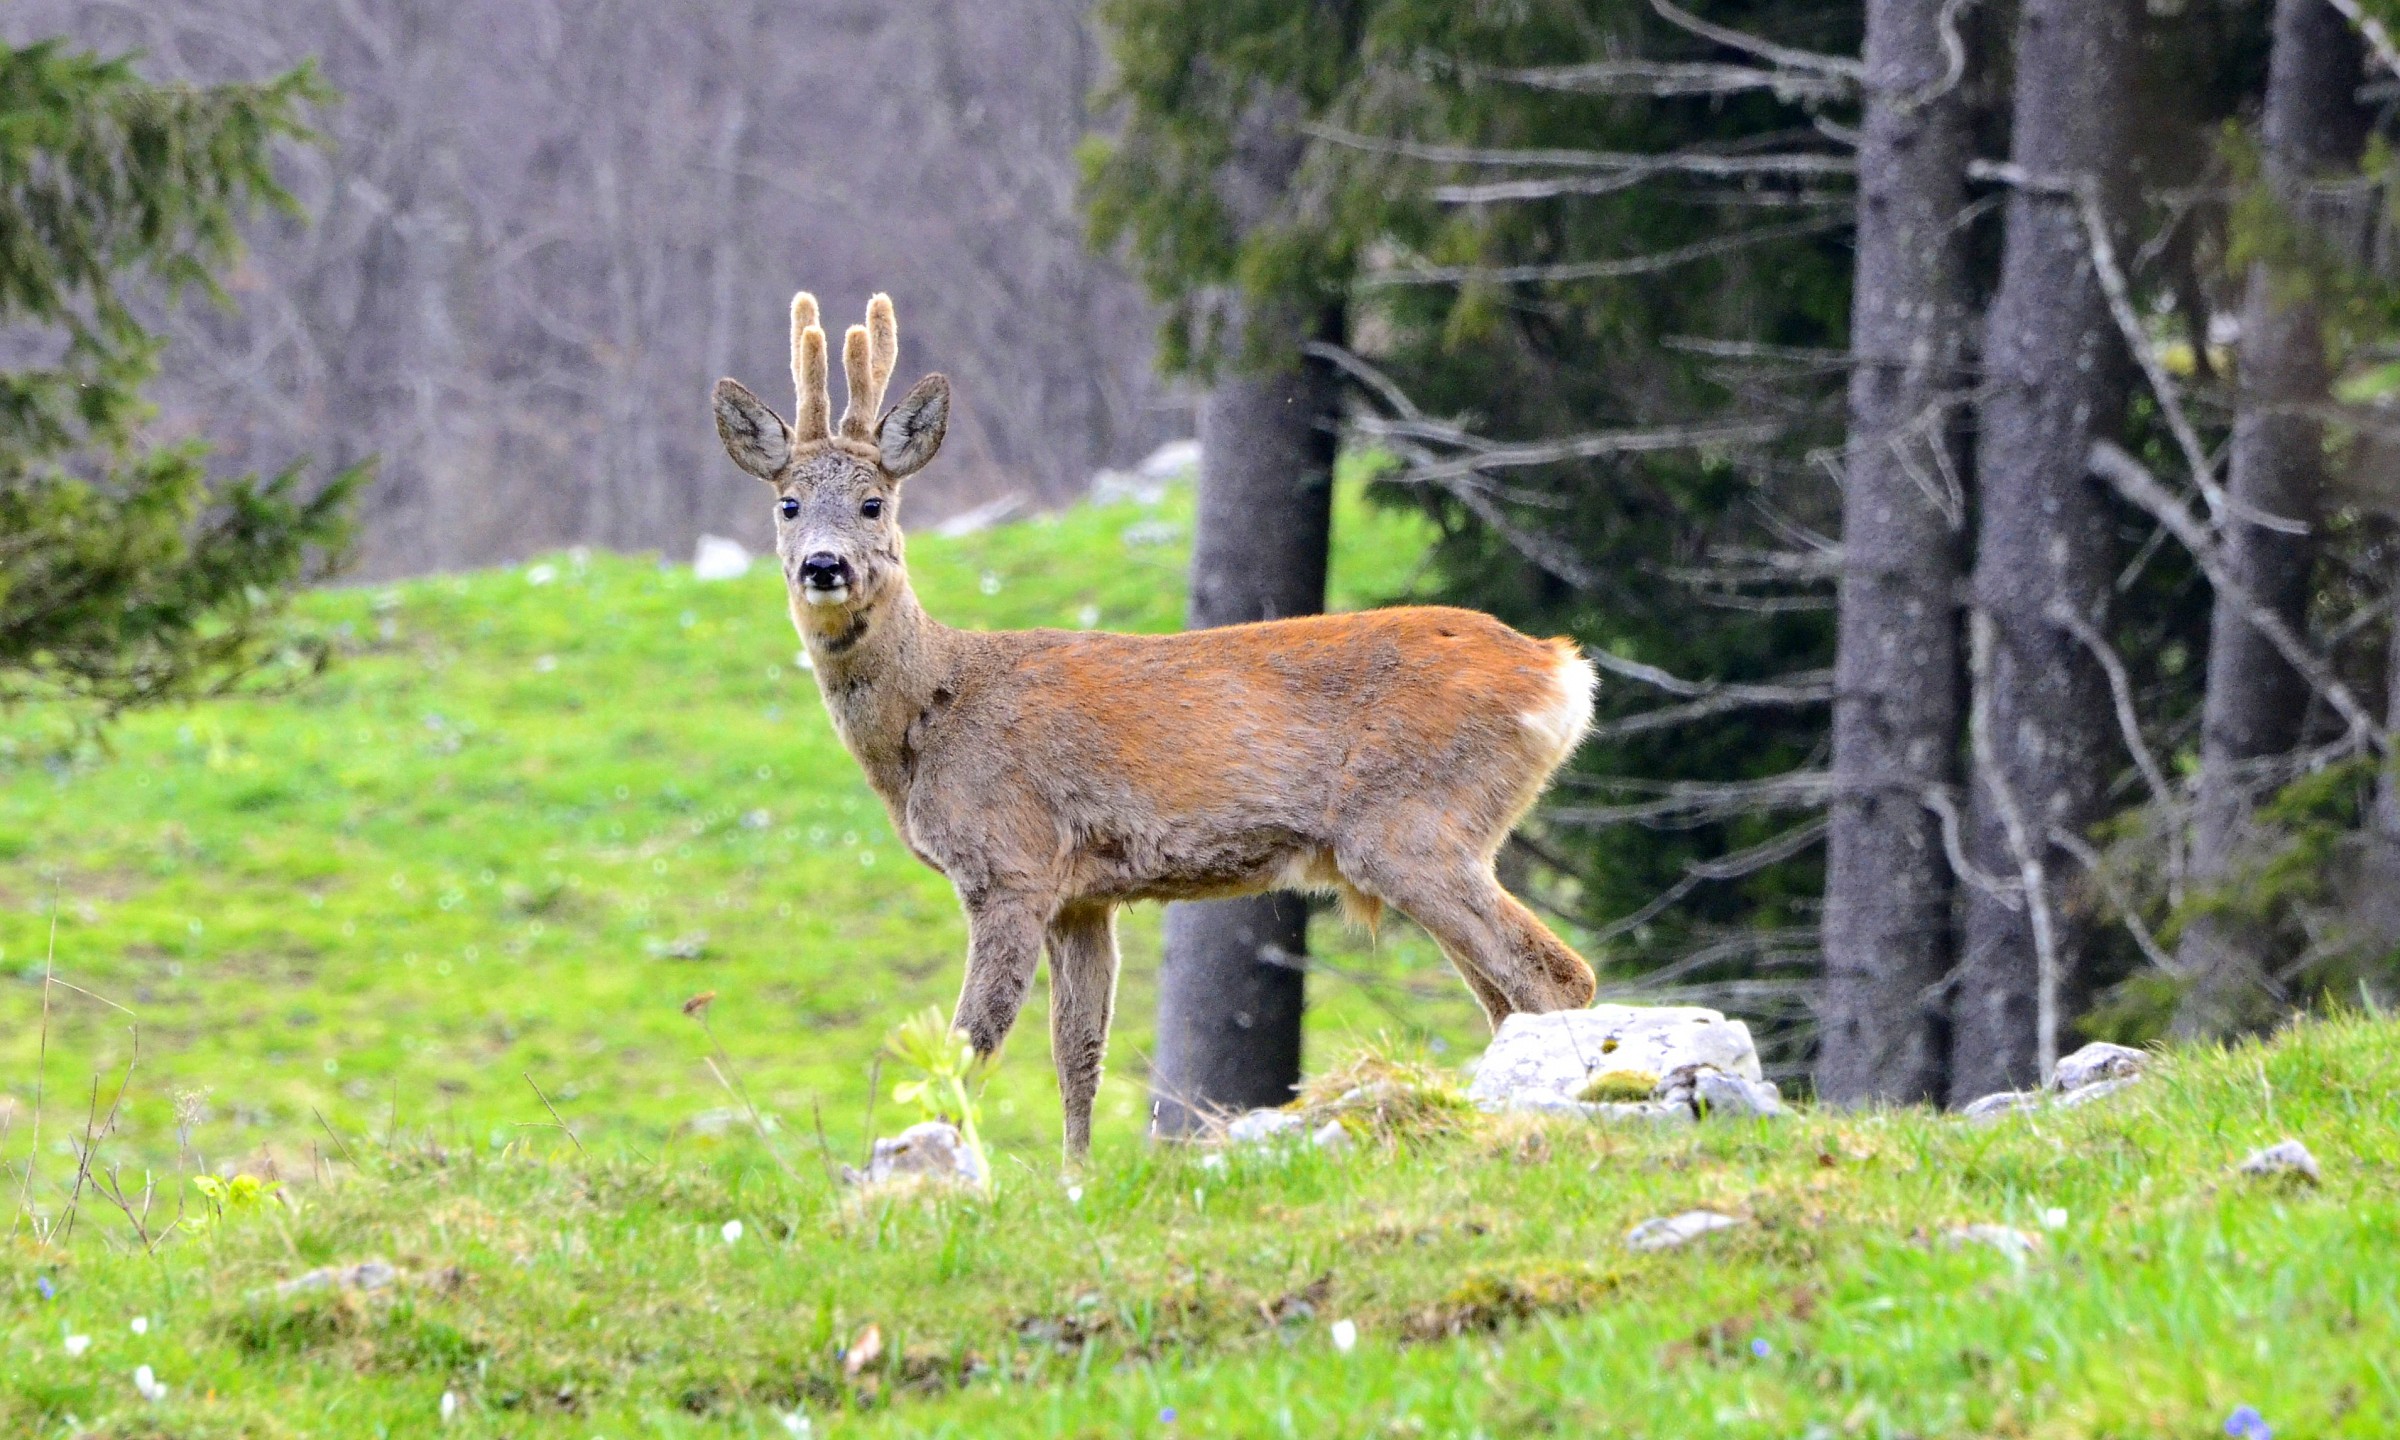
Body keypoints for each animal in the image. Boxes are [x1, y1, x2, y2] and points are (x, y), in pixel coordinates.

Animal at [711, 291, 1600, 1163]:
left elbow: (971, 1045)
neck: (932, 713)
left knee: (1554, 976)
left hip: (1414, 825)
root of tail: (1563, 671)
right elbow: (1077, 1052)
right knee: (1509, 995)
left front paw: (943, 1160)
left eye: (874, 503)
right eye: (787, 504)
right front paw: (1074, 1176)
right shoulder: (1081, 895)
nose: (824, 565)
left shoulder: (1010, 864)